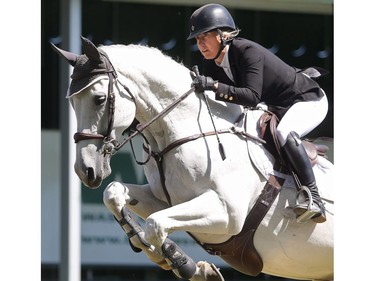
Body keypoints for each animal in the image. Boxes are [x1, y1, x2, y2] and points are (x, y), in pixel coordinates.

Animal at [52, 37, 334, 280]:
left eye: (99, 99)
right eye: (72, 103)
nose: (86, 170)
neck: (182, 128)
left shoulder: (227, 215)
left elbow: (155, 224)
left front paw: (187, 267)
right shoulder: (164, 199)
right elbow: (113, 194)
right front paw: (155, 250)